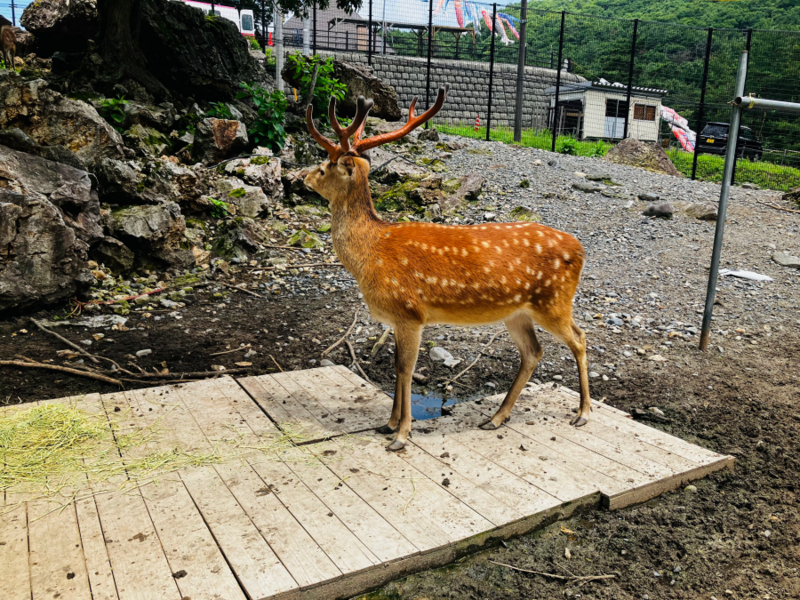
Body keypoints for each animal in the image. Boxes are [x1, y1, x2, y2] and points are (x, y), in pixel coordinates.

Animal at [306, 84, 592, 450]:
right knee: (533, 352)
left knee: (579, 338)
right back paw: (495, 418)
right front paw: (388, 423)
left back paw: (582, 413)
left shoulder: (410, 312)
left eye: (324, 167)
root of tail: (579, 248)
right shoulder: (398, 319)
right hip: (518, 312)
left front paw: (401, 434)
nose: (302, 176)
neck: (370, 253)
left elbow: (405, 369)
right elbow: (397, 366)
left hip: (553, 301)